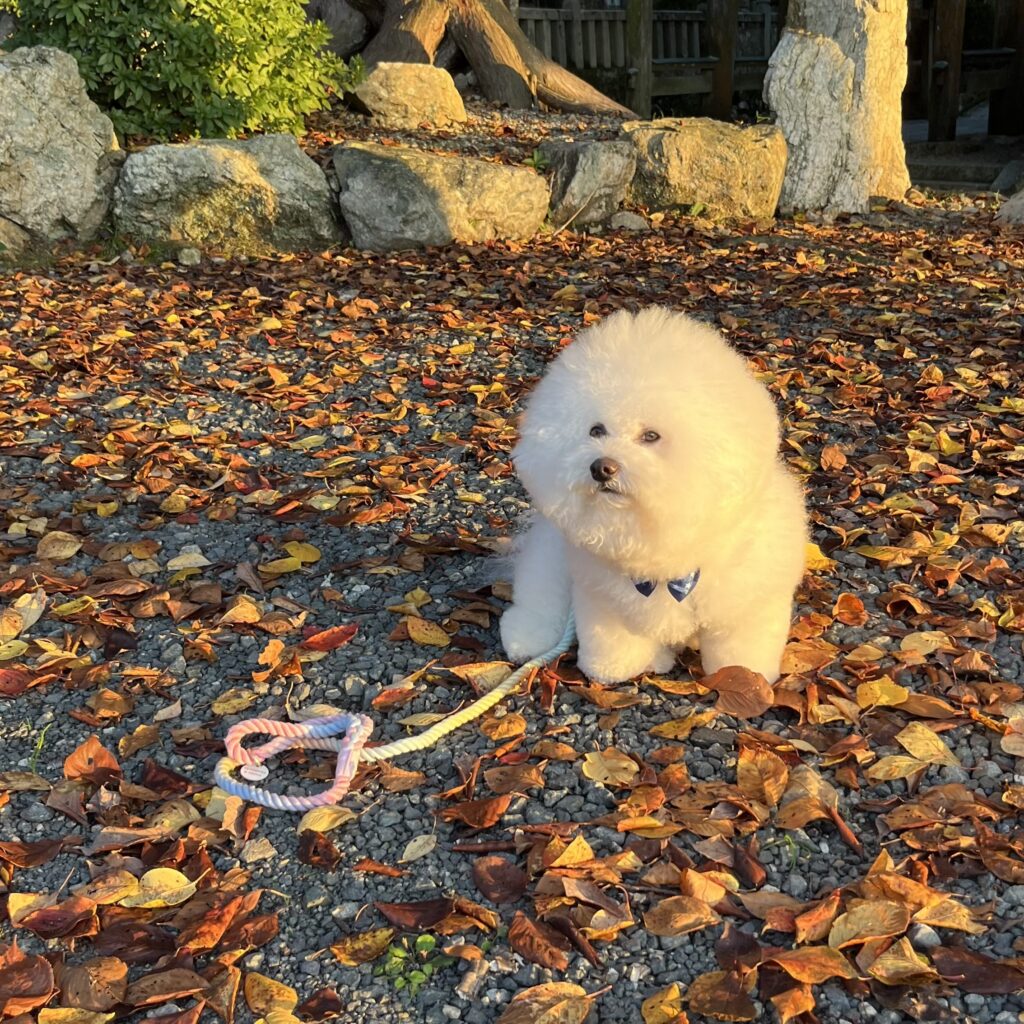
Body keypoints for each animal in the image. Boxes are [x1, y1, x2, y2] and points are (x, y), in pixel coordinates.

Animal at [499, 307, 807, 685]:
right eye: (596, 430)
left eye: (650, 436)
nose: (602, 467)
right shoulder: (603, 601)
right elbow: (615, 646)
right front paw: (617, 668)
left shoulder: (746, 603)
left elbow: (739, 651)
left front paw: (745, 677)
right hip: (551, 560)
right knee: (538, 598)